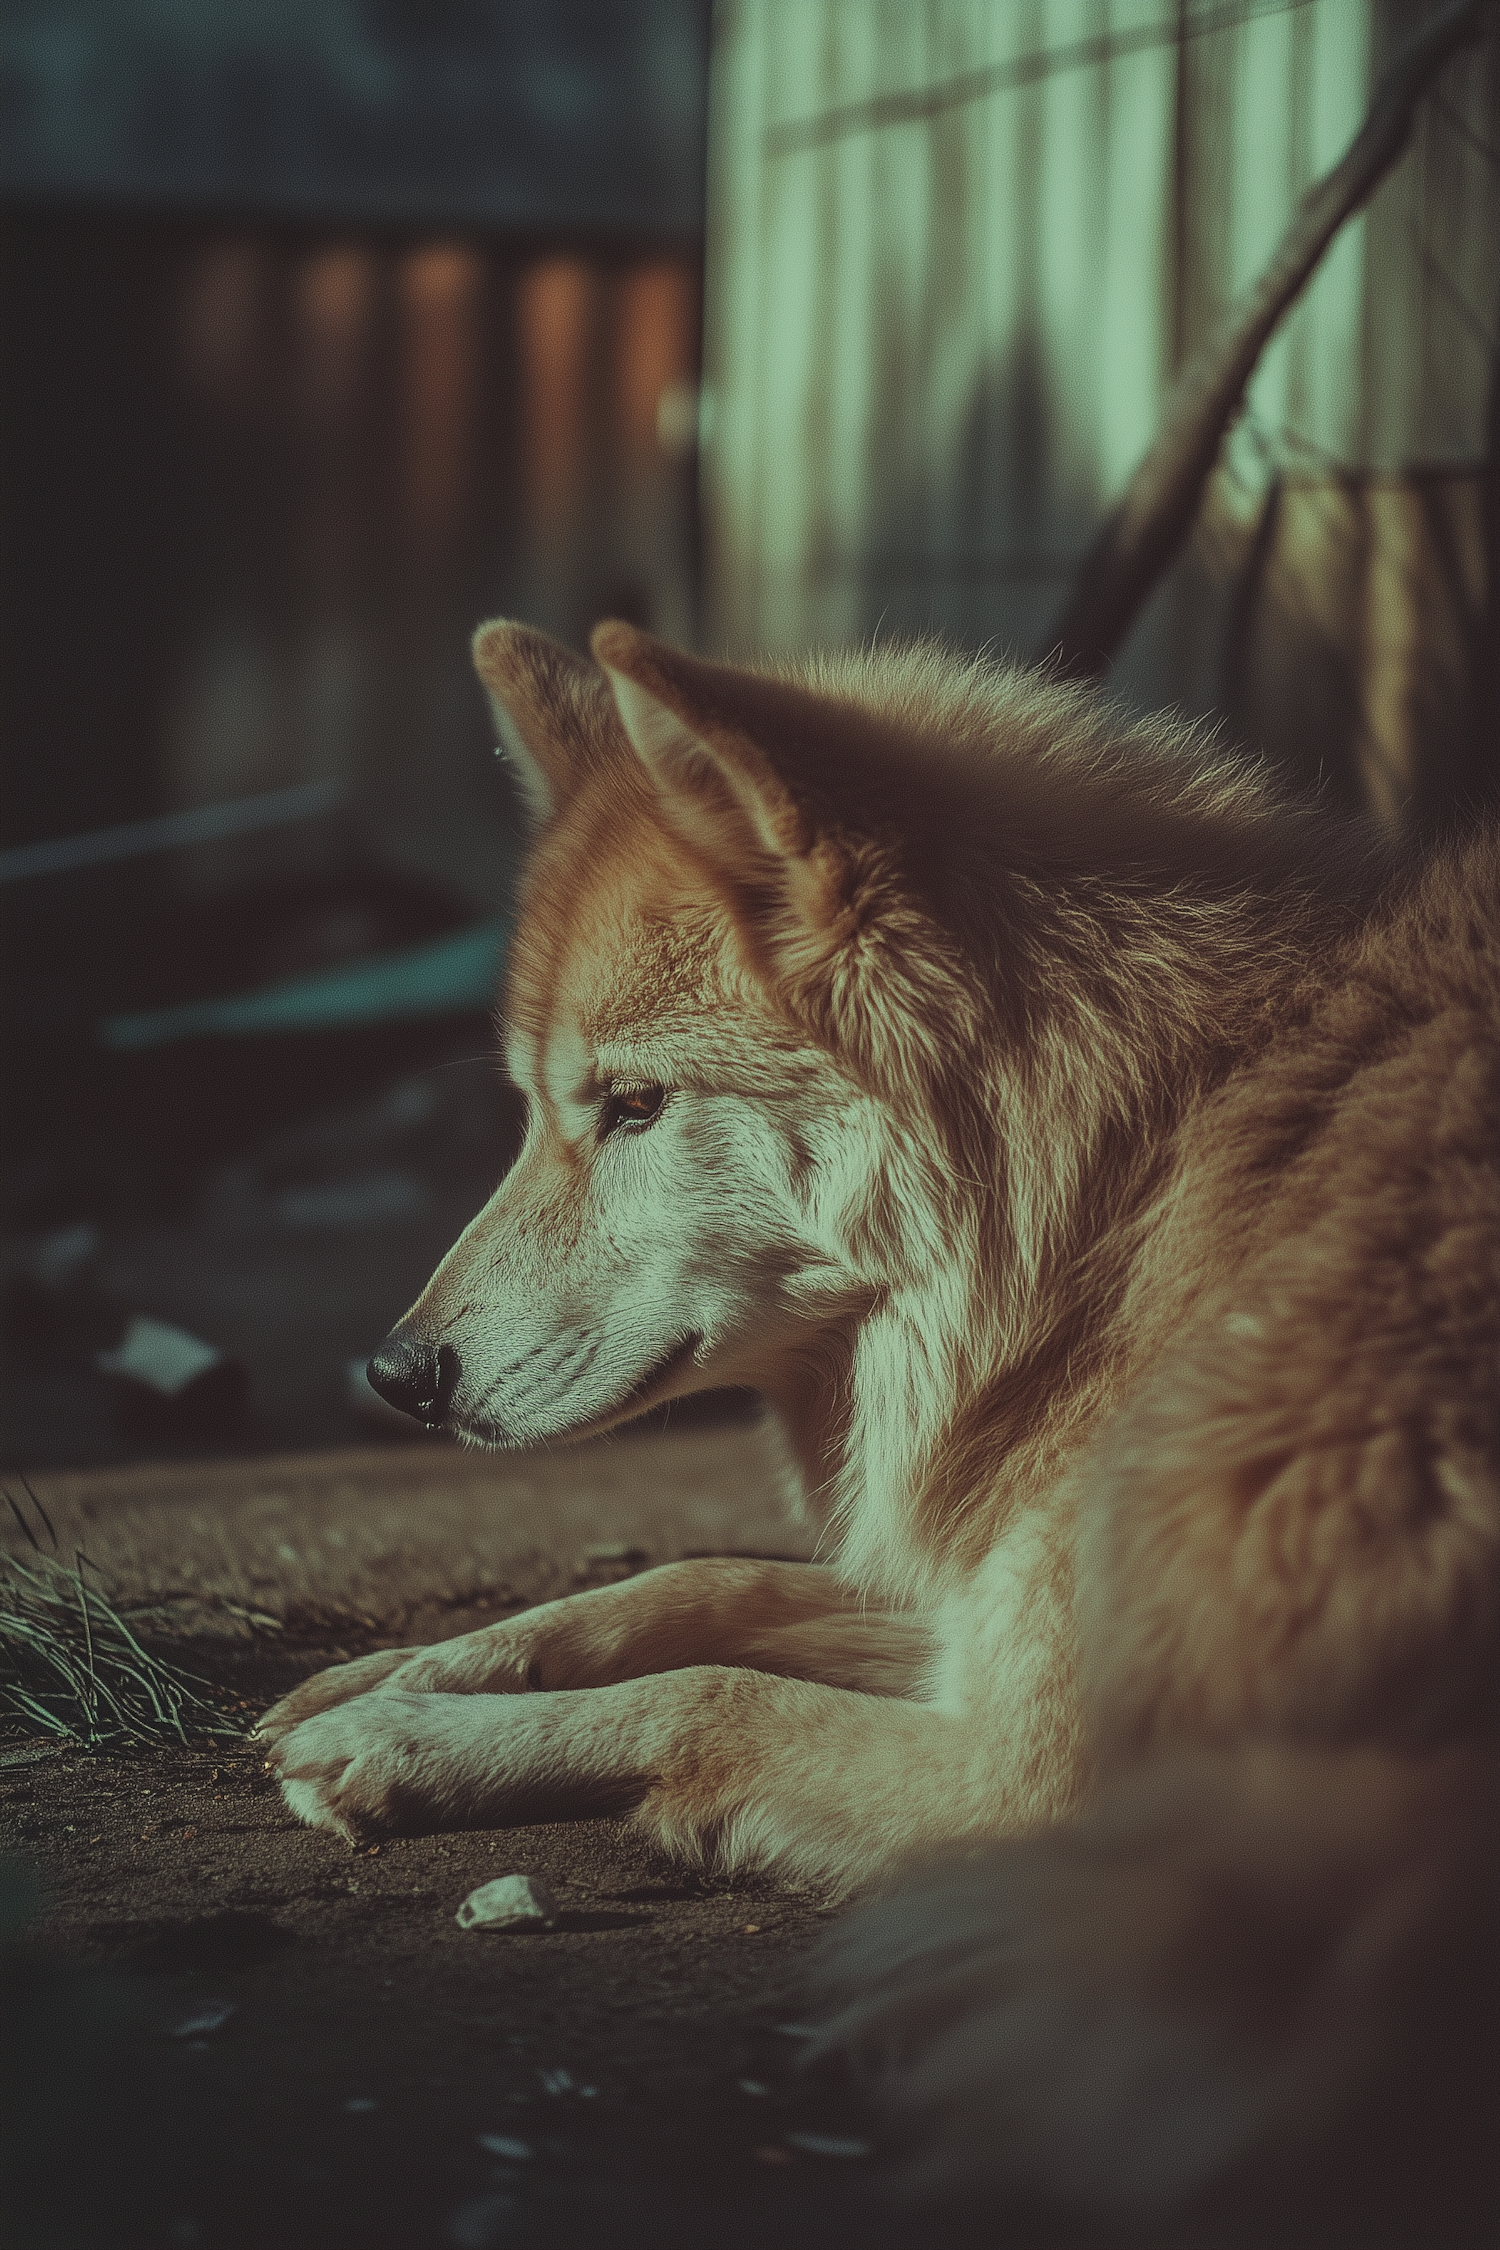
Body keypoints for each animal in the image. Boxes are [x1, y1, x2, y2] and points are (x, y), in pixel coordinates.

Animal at [260, 616, 1500, 2232]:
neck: (1137, 1186)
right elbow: (691, 1583)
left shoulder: (1036, 1772)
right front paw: (397, 1674)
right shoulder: (971, 1603)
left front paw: (403, 1740)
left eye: (635, 1104)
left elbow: (708, 1692)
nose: (395, 1374)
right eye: (531, 1109)